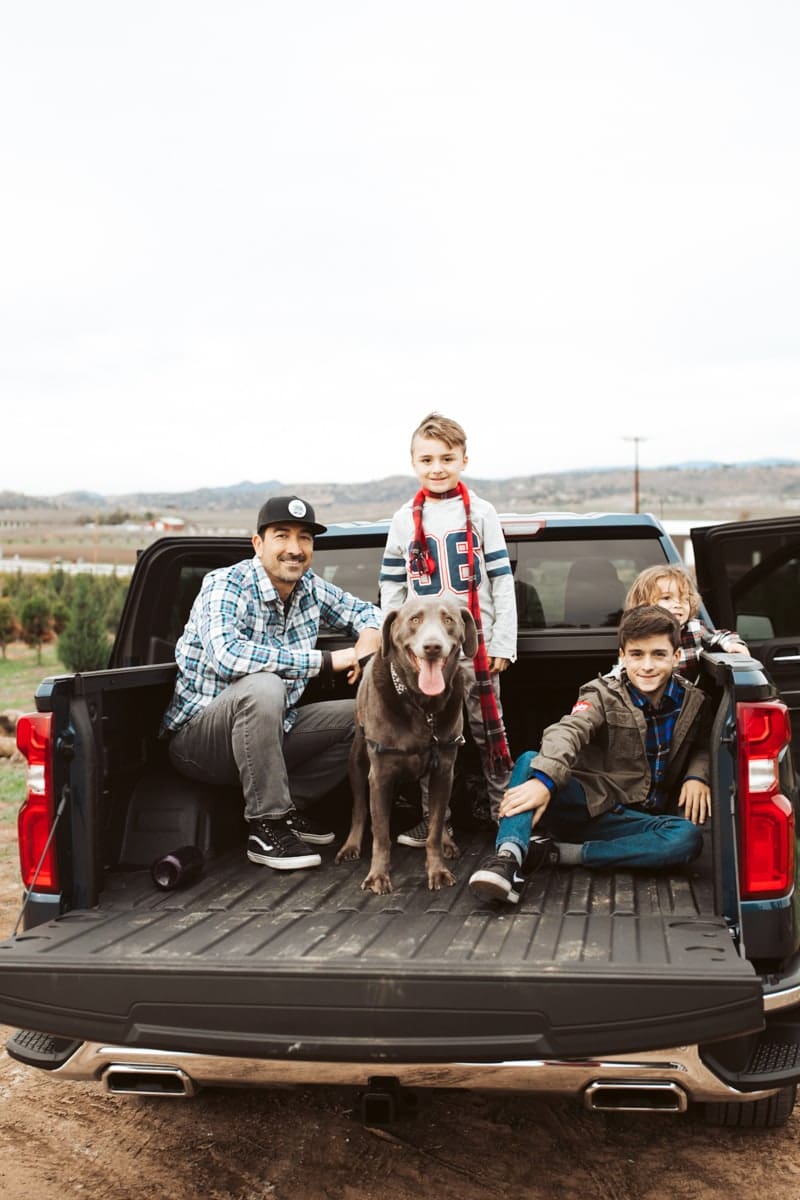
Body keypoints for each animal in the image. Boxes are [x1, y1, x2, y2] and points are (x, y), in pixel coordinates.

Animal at [335, 595, 479, 897]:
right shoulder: (380, 775)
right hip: (357, 760)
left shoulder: (443, 769)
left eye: (448, 619)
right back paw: (350, 845)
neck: (423, 706)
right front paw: (378, 876)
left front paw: (437, 869)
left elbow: (434, 826)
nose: (432, 647)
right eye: (415, 619)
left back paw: (447, 841)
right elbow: (380, 833)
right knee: (359, 808)